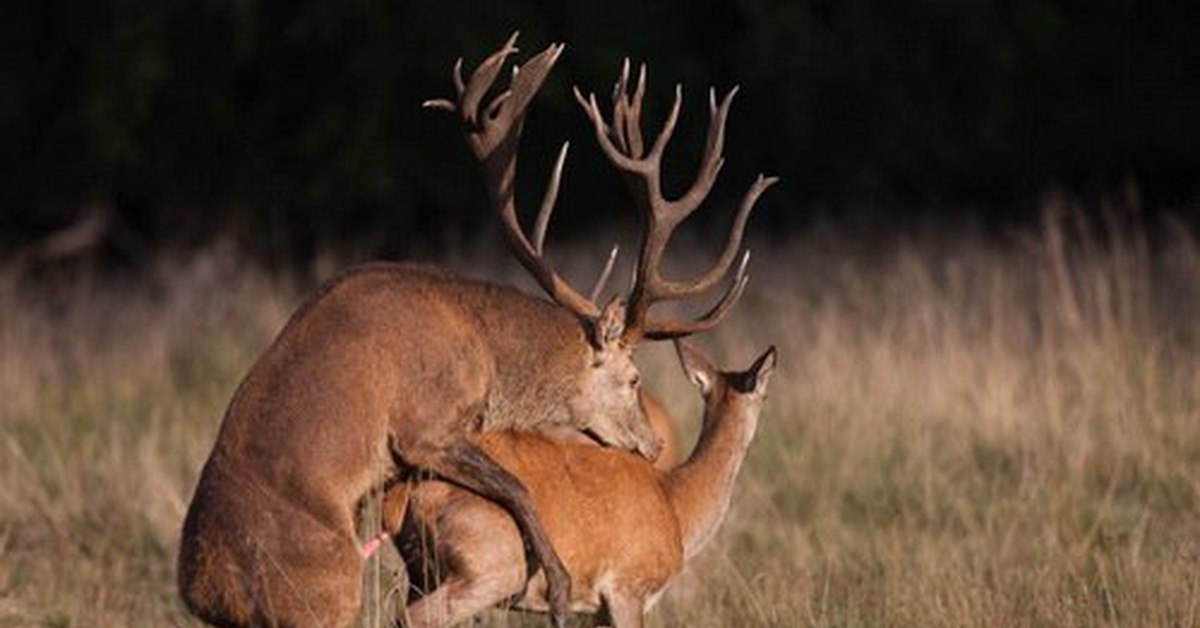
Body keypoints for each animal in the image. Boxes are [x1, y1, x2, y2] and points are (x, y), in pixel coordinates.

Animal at [398, 343, 772, 628]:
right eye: (764, 395)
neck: (677, 502)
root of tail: (411, 499)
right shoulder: (626, 591)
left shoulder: (597, 611)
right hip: (490, 575)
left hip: (425, 575)